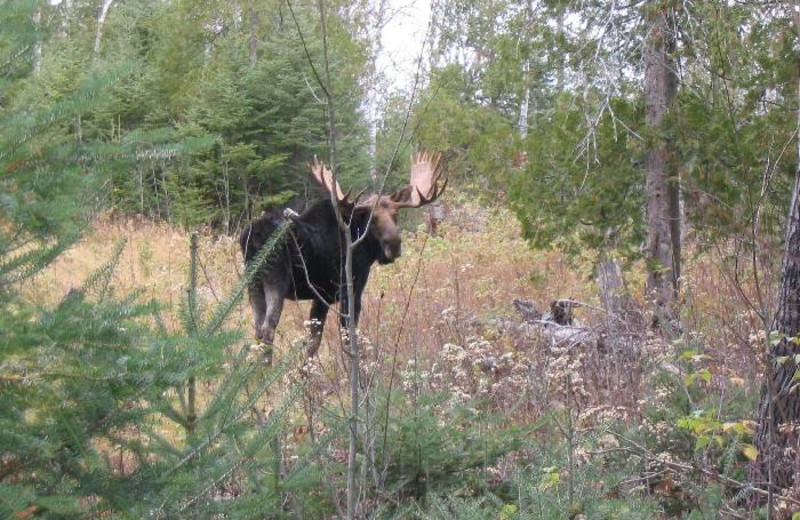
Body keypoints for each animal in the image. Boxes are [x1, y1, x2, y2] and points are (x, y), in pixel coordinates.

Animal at [241, 149, 446, 358]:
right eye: (371, 219)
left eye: (395, 215)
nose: (394, 245)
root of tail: (252, 235)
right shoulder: (351, 290)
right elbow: (348, 339)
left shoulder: (321, 297)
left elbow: (312, 343)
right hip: (276, 280)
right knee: (268, 329)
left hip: (253, 283)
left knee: (257, 330)